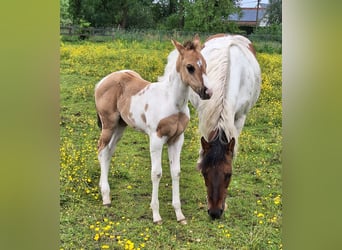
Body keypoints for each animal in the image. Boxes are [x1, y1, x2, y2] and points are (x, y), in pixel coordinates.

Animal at [94, 34, 211, 224]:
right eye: (190, 67)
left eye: (205, 65)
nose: (207, 92)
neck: (173, 102)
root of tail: (102, 82)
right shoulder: (156, 138)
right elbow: (156, 173)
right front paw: (156, 215)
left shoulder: (177, 139)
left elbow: (176, 172)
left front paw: (179, 214)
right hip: (108, 124)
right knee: (102, 150)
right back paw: (106, 197)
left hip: (120, 126)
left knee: (109, 152)